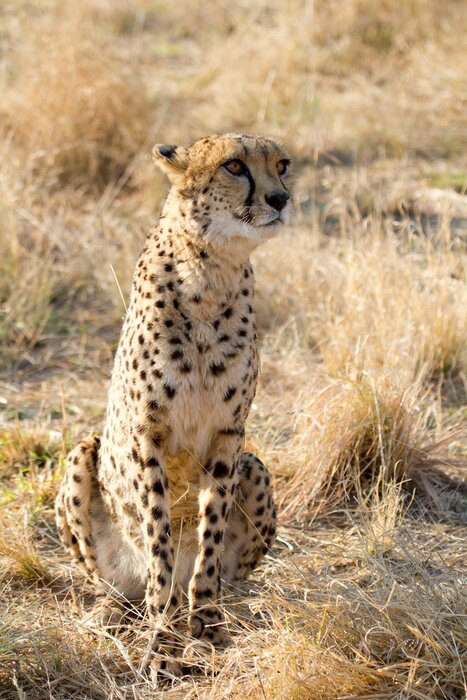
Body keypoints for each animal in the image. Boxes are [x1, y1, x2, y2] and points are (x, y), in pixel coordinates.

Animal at [55, 132, 292, 680]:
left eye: (283, 165)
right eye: (234, 167)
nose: (280, 199)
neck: (211, 271)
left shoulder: (230, 436)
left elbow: (210, 536)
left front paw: (206, 627)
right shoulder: (147, 435)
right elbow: (159, 537)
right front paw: (163, 639)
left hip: (255, 466)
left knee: (230, 571)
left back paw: (229, 605)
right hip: (82, 457)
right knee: (118, 582)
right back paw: (115, 609)